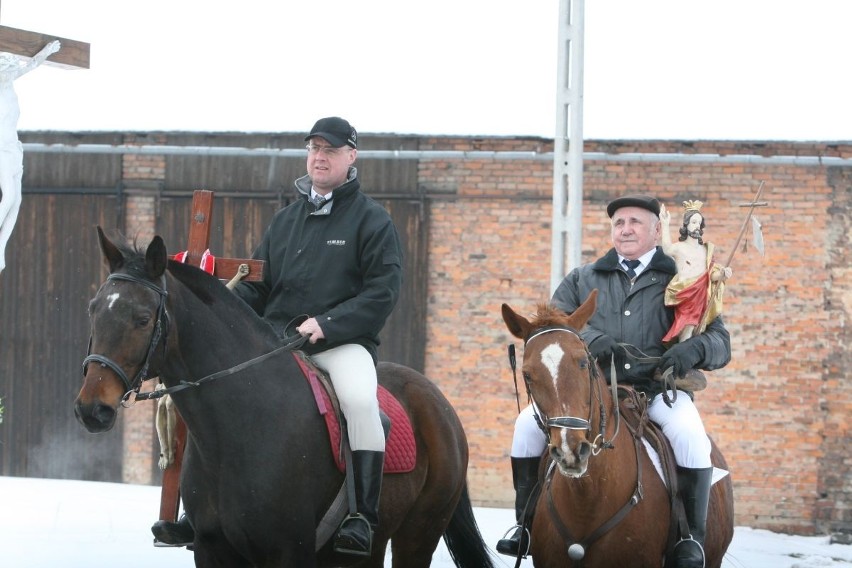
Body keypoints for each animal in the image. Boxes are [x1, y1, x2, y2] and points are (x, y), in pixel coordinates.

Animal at [75, 227, 496, 568]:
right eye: (93, 310)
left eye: (143, 319)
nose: (91, 409)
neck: (237, 427)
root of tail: (438, 402)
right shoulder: (212, 551)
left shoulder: (288, 551)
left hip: (418, 534)